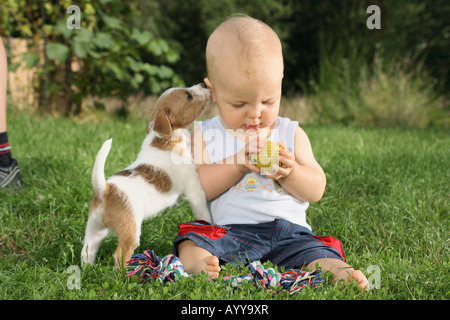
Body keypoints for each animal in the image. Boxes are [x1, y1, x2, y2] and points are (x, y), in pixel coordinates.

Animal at [81, 84, 212, 268]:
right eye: (188, 96)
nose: (204, 84)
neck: (164, 139)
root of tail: (106, 189)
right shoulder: (195, 192)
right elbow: (204, 213)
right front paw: (210, 225)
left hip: (94, 228)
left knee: (87, 251)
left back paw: (88, 269)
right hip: (130, 231)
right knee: (120, 255)